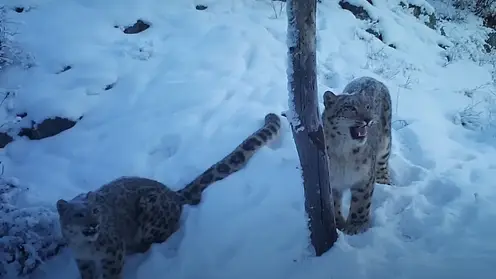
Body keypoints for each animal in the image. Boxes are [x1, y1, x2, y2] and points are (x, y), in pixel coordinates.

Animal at [56, 113, 280, 279]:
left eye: (96, 210)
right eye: (79, 214)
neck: (85, 247)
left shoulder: (112, 255)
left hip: (150, 212)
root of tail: (172, 193)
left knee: (163, 235)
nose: (93, 225)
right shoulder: (82, 262)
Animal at [324, 76, 394, 236]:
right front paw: (339, 223)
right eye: (350, 107)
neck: (343, 152)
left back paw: (385, 182)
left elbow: (361, 203)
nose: (368, 119)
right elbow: (334, 202)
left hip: (385, 145)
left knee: (383, 164)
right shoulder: (332, 179)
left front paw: (356, 225)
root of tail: (371, 78)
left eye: (367, 107)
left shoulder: (364, 178)